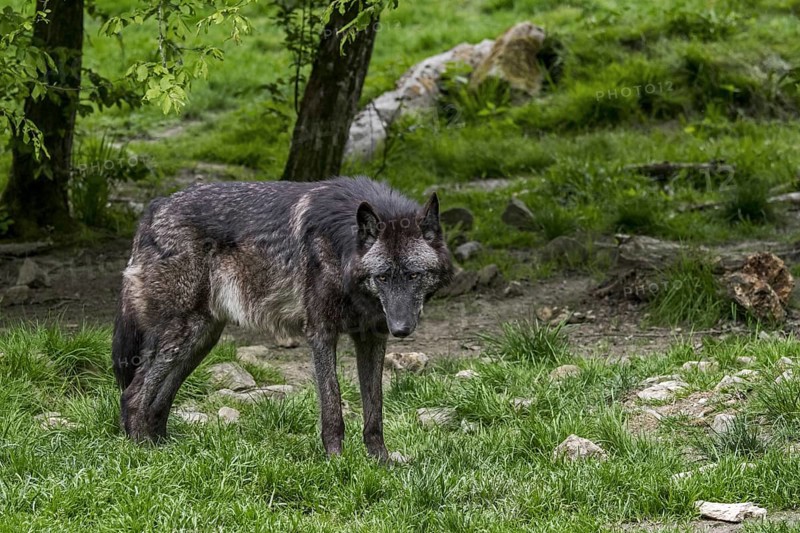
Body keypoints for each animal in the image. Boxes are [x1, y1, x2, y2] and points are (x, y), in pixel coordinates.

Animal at [112, 176, 453, 460]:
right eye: (382, 277)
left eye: (413, 275)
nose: (401, 329)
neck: (342, 247)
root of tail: (155, 208)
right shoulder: (321, 332)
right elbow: (332, 405)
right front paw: (337, 463)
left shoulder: (372, 336)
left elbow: (375, 408)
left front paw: (380, 462)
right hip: (183, 334)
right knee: (133, 395)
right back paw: (145, 454)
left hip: (201, 339)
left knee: (159, 399)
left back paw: (165, 449)